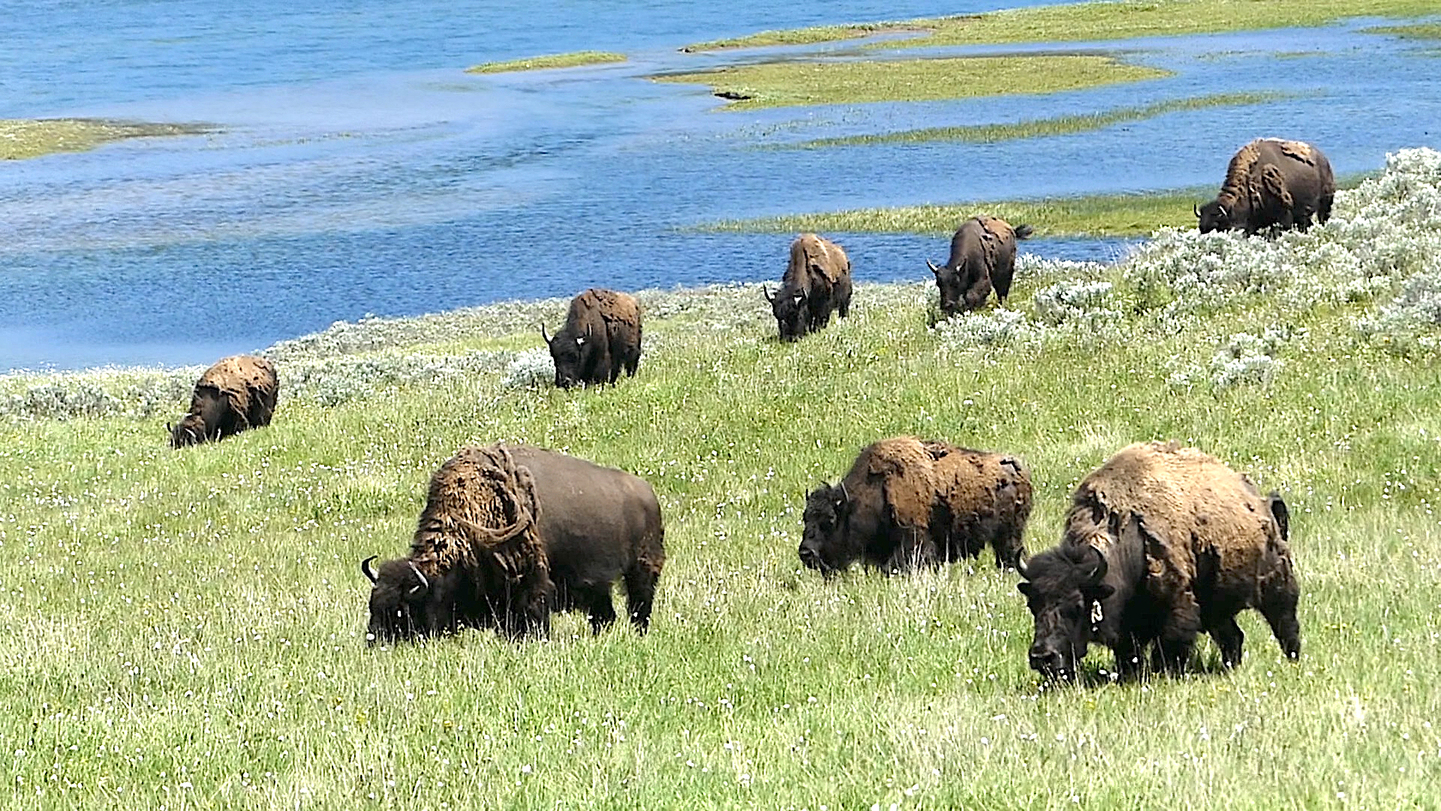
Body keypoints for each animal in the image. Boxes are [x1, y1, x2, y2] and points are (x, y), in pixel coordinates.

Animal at [366, 443, 668, 648]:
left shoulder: (532, 584)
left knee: (639, 606)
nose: (374, 640)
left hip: (641, 571)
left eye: (401, 610)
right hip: (599, 587)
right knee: (605, 615)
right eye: (373, 605)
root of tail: (648, 493)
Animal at [801, 437, 1037, 576]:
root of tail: (1019, 469)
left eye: (830, 520)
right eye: (805, 518)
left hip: (1009, 535)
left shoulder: (913, 540)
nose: (806, 553)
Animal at [1014, 440, 1308, 682]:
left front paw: (1164, 672)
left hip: (1277, 584)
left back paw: (1292, 661)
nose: (1043, 657)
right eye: (1033, 604)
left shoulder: (1176, 604)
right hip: (1215, 608)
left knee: (1285, 623)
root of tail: (1263, 504)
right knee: (1233, 636)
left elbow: (1169, 644)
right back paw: (1230, 667)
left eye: (1077, 605)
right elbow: (1128, 652)